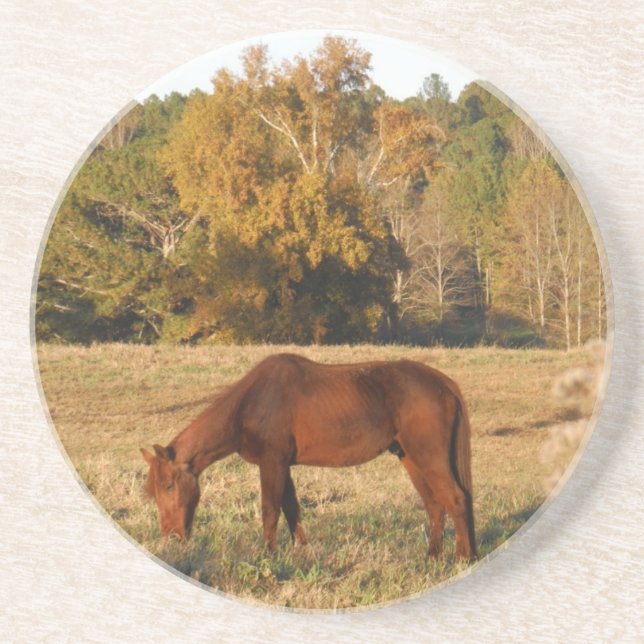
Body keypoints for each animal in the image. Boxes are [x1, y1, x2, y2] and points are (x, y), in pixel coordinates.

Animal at [141, 353, 477, 560]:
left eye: (169, 485)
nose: (171, 538)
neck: (252, 402)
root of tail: (443, 384)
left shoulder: (272, 462)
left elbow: (270, 509)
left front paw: (267, 555)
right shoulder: (283, 465)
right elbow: (292, 508)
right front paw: (300, 551)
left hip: (428, 457)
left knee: (456, 499)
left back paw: (463, 557)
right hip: (410, 458)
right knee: (435, 505)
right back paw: (433, 557)